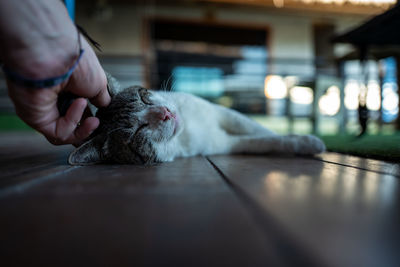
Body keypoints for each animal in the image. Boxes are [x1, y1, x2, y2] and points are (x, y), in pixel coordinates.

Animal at [69, 74, 324, 165]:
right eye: (138, 131)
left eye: (144, 98)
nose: (165, 113)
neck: (187, 130)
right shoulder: (223, 144)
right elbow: (264, 141)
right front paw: (305, 142)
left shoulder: (222, 113)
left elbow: (259, 128)